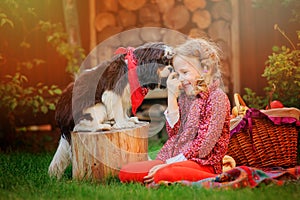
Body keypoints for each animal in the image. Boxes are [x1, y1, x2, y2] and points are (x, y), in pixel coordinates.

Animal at [47, 41, 173, 178]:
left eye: (170, 62)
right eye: (164, 60)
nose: (171, 68)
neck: (134, 65)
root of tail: (61, 121)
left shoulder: (125, 95)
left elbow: (123, 110)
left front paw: (128, 120)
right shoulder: (113, 92)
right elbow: (118, 110)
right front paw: (123, 124)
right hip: (96, 108)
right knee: (77, 127)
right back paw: (101, 126)